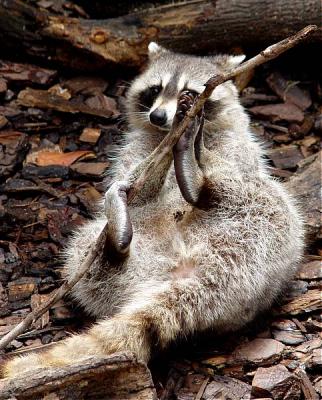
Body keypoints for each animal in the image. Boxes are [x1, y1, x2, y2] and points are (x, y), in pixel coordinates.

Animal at [1, 43, 304, 378]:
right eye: (155, 89)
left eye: (189, 91)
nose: (159, 116)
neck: (165, 135)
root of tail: (194, 274)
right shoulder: (135, 150)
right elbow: (136, 190)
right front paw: (156, 165)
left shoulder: (240, 146)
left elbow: (241, 167)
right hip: (131, 270)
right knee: (86, 252)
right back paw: (116, 243)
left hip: (272, 238)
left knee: (267, 197)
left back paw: (199, 179)